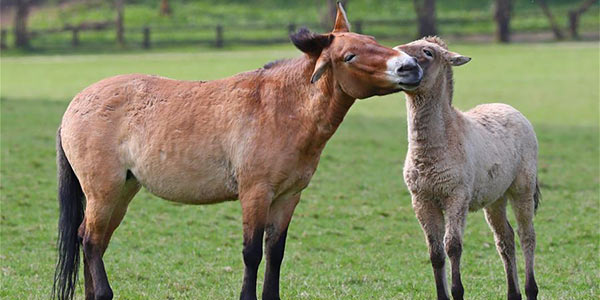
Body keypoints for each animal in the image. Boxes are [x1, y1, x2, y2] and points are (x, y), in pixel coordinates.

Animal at [55, 3, 422, 298]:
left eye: (373, 39)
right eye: (350, 56)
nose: (411, 67)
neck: (281, 108)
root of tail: (74, 106)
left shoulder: (287, 198)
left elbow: (275, 253)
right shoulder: (255, 193)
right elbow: (252, 253)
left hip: (122, 192)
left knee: (92, 241)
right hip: (104, 192)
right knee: (90, 241)